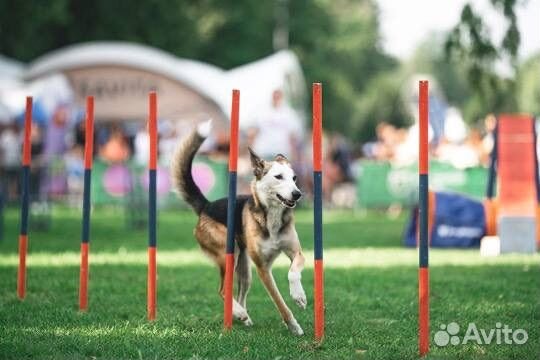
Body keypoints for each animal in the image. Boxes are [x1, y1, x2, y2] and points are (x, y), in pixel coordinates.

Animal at [171, 120, 306, 334]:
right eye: (278, 177)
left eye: (294, 178)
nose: (297, 194)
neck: (272, 216)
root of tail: (206, 205)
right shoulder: (263, 269)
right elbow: (279, 302)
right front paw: (293, 325)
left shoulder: (296, 252)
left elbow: (293, 271)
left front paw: (299, 295)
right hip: (228, 254)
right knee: (222, 290)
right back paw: (239, 313)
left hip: (244, 266)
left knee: (240, 290)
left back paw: (244, 316)